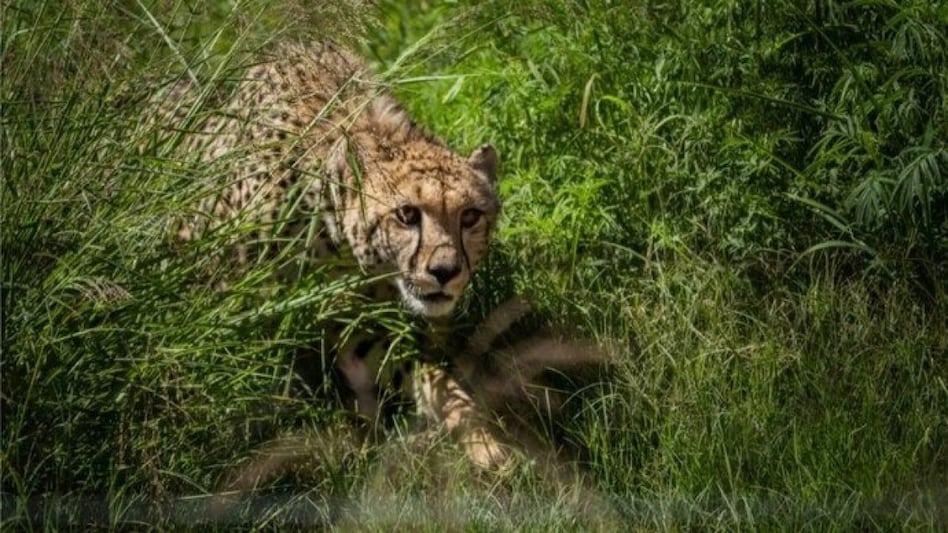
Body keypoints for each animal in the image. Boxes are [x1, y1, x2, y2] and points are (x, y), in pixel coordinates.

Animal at [158, 41, 510, 470]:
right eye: (407, 214)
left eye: (470, 216)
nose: (445, 271)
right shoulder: (243, 303)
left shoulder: (359, 325)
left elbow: (431, 379)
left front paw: (482, 439)